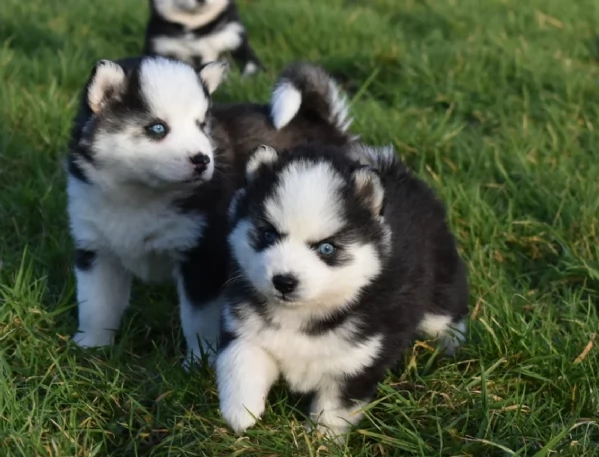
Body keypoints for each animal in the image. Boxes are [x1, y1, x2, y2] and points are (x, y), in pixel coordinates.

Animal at [218, 142, 472, 438]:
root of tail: (396, 171)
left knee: (447, 316)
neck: (300, 315)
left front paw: (320, 438)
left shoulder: (357, 361)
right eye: (268, 234)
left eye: (327, 248)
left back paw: (450, 346)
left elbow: (333, 408)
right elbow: (240, 359)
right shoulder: (245, 327)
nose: (284, 281)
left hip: (439, 290)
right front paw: (241, 411)